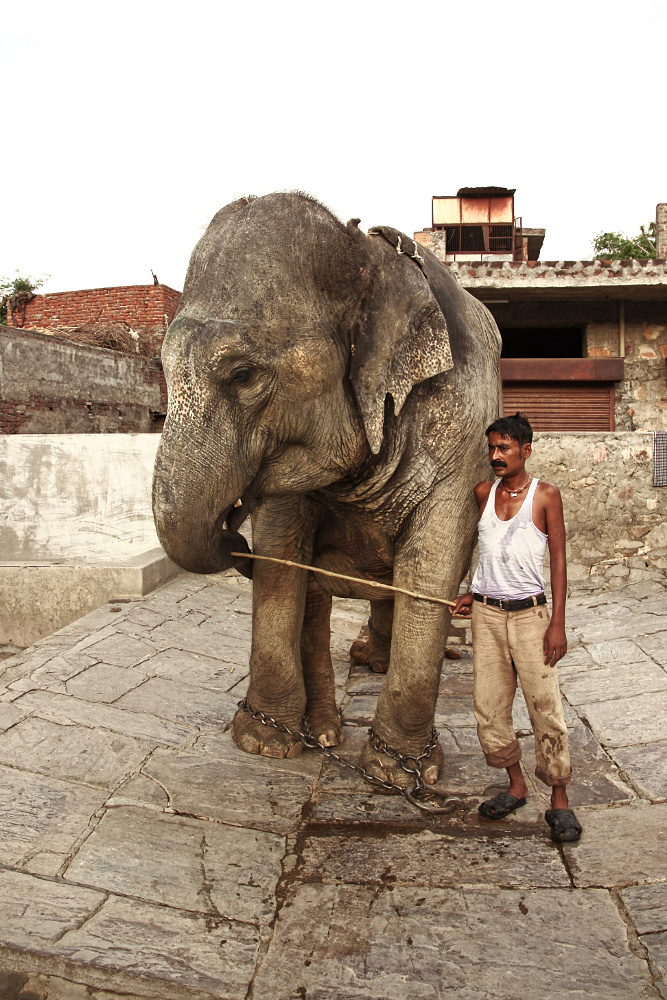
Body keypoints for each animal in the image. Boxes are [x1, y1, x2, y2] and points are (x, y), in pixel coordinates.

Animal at [153, 193, 500, 788]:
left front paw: (400, 775)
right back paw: (335, 712)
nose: (231, 532)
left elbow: (431, 564)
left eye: (243, 374)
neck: (366, 257)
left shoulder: (461, 430)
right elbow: (283, 556)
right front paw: (265, 743)